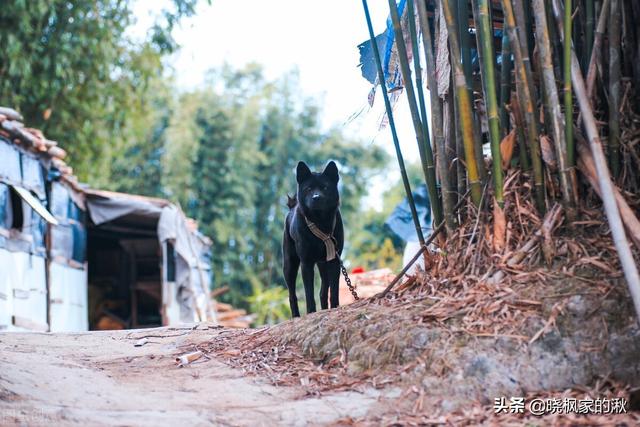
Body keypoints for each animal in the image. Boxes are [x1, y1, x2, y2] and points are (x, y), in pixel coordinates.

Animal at [282, 160, 342, 318]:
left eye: (325, 187)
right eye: (308, 188)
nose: (316, 197)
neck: (320, 221)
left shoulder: (334, 261)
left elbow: (334, 290)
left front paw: (335, 307)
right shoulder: (306, 263)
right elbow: (309, 293)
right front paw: (311, 312)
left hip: (323, 264)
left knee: (323, 292)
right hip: (289, 265)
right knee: (292, 295)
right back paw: (296, 316)